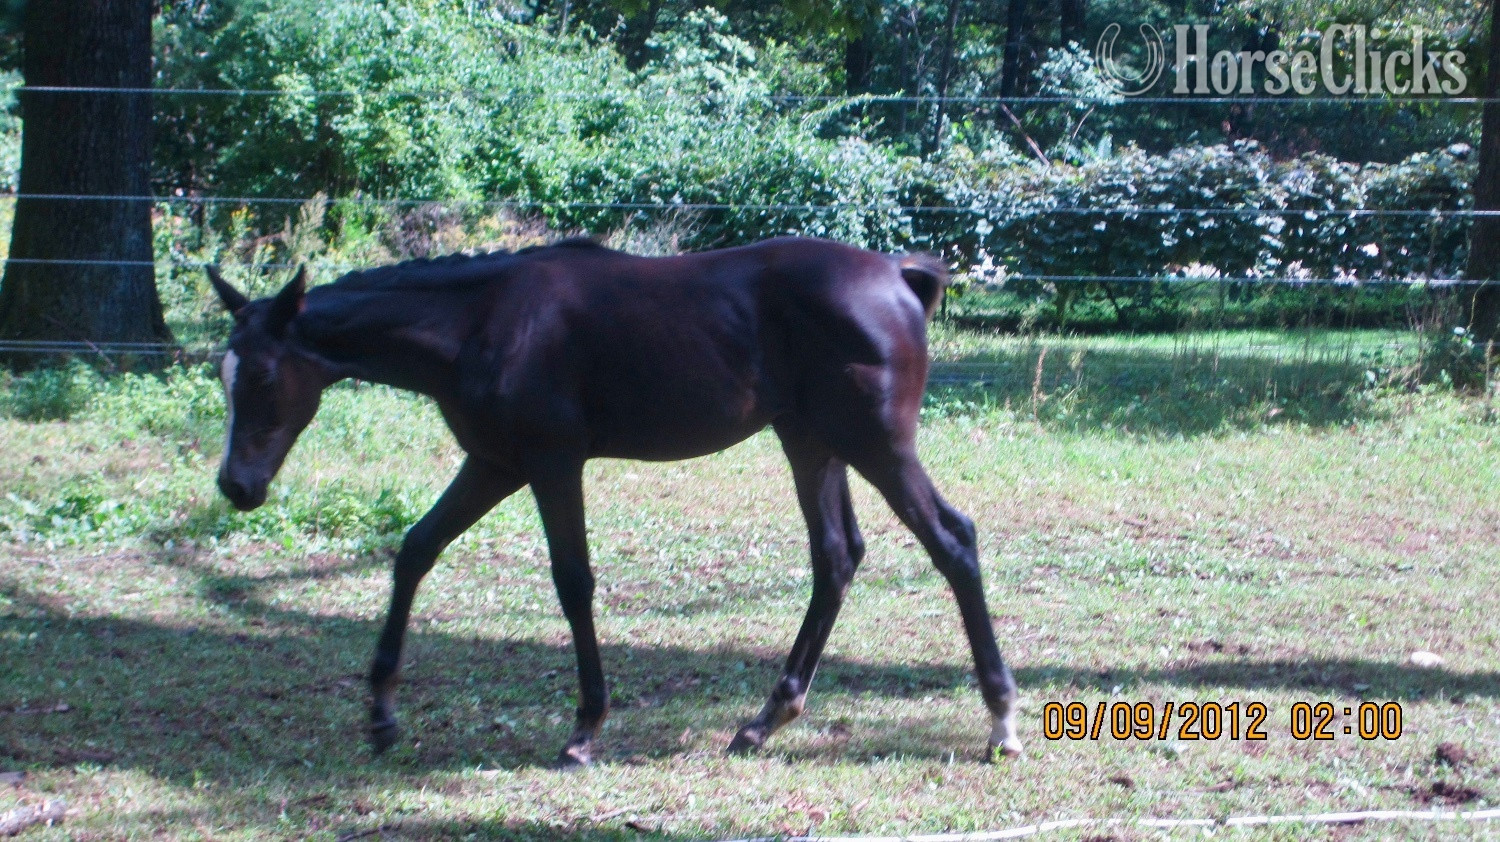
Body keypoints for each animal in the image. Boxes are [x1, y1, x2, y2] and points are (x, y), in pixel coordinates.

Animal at [207, 236, 1022, 766]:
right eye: (224, 373)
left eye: (261, 377)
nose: (237, 486)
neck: (482, 320)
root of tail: (898, 273)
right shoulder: (493, 462)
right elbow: (415, 549)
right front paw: (380, 716)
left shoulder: (551, 462)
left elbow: (573, 583)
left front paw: (584, 729)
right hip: (810, 442)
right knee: (837, 557)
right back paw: (765, 721)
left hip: (875, 445)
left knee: (953, 539)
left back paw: (1002, 722)